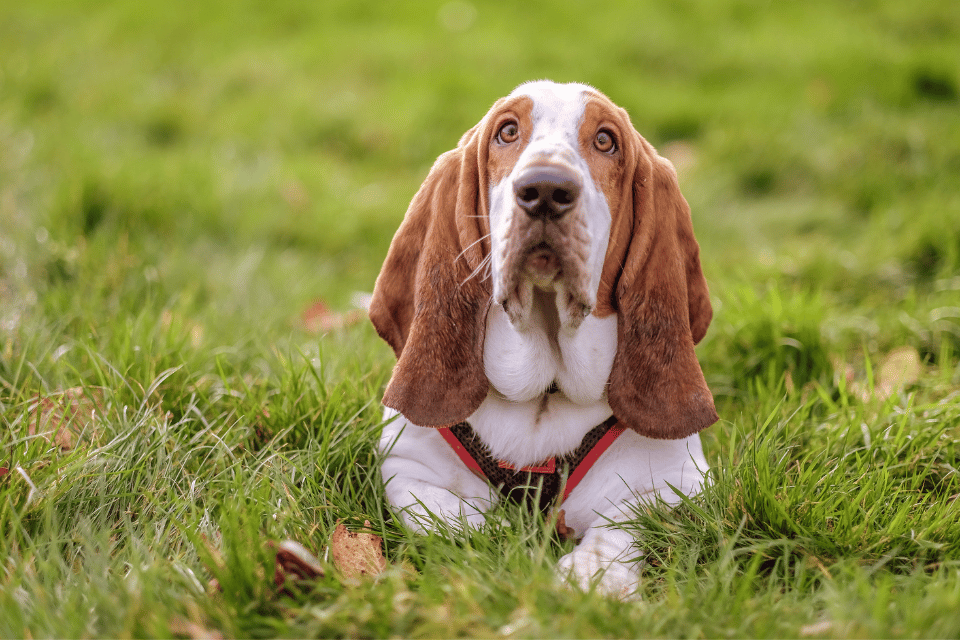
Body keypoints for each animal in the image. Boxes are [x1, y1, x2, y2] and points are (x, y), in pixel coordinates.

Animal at [368, 81, 712, 600]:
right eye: (507, 132)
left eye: (606, 140)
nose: (546, 189)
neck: (544, 395)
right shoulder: (407, 464)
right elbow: (450, 520)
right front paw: (499, 541)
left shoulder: (680, 480)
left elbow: (625, 525)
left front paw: (591, 577)